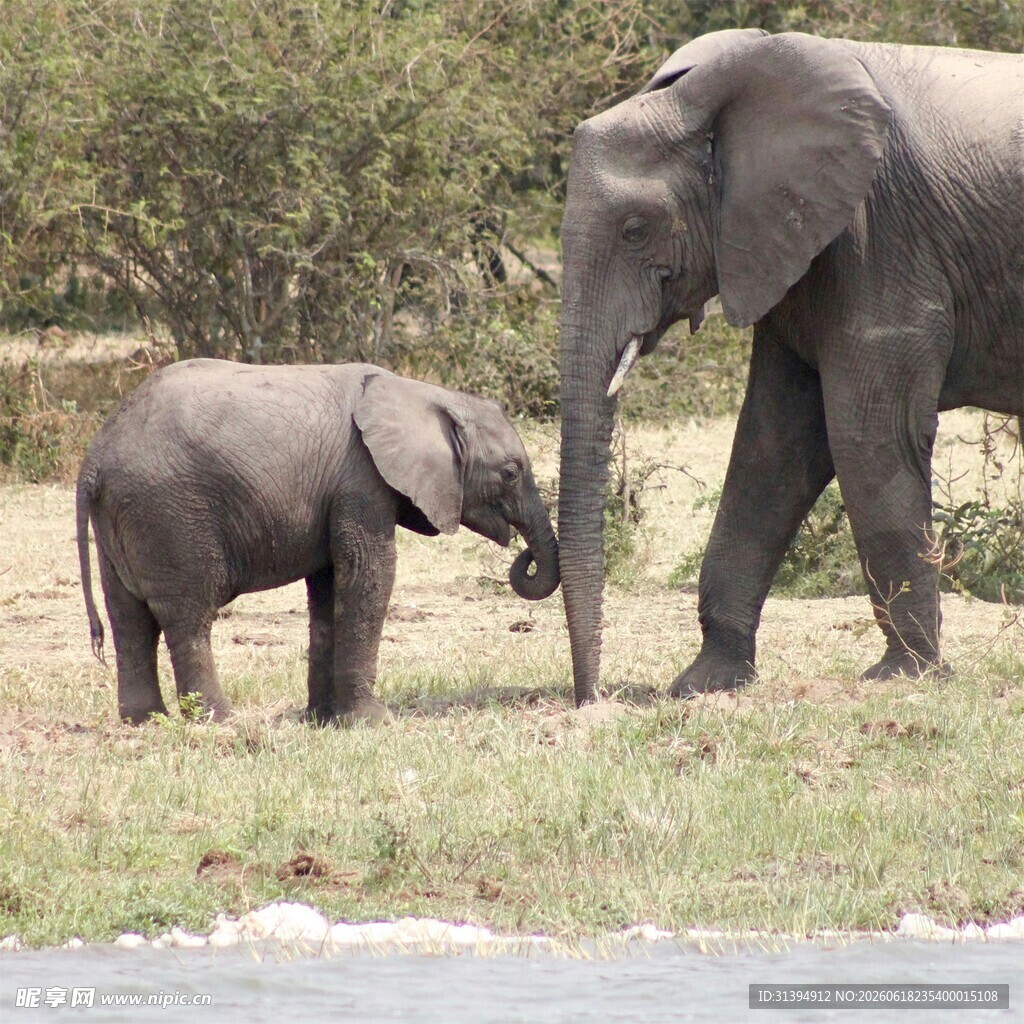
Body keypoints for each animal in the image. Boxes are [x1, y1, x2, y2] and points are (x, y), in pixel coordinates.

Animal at [76, 359, 559, 724]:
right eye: (510, 472)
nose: (525, 555)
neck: (423, 394)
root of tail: (95, 458)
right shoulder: (360, 478)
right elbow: (370, 572)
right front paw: (371, 722)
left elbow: (328, 589)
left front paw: (323, 720)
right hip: (171, 514)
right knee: (187, 615)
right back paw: (221, 721)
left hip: (124, 517)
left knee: (128, 618)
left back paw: (144, 721)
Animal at [557, 29, 1023, 705]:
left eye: (635, 230)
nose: (591, 699)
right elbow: (772, 448)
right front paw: (704, 684)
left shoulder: (879, 237)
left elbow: (866, 437)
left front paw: (905, 676)